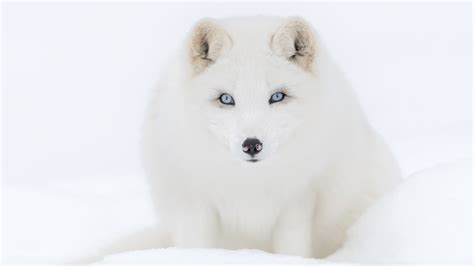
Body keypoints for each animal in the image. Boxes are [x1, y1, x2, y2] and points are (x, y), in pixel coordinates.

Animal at [143, 16, 402, 258]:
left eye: (277, 97)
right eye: (226, 99)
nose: (252, 145)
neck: (252, 183)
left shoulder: (299, 200)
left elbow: (293, 249)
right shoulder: (195, 203)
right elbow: (197, 245)